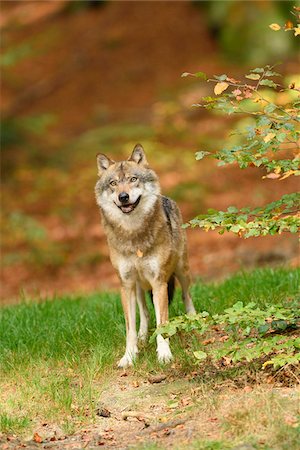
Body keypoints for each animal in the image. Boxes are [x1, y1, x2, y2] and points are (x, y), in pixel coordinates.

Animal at [94, 145, 197, 370]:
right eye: (113, 183)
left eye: (133, 179)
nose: (123, 197)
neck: (133, 235)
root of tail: (167, 198)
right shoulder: (125, 285)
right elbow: (130, 329)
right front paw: (129, 356)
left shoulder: (159, 283)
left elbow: (162, 325)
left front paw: (164, 355)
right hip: (139, 286)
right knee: (145, 313)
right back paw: (143, 336)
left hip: (182, 270)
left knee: (186, 296)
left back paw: (194, 319)